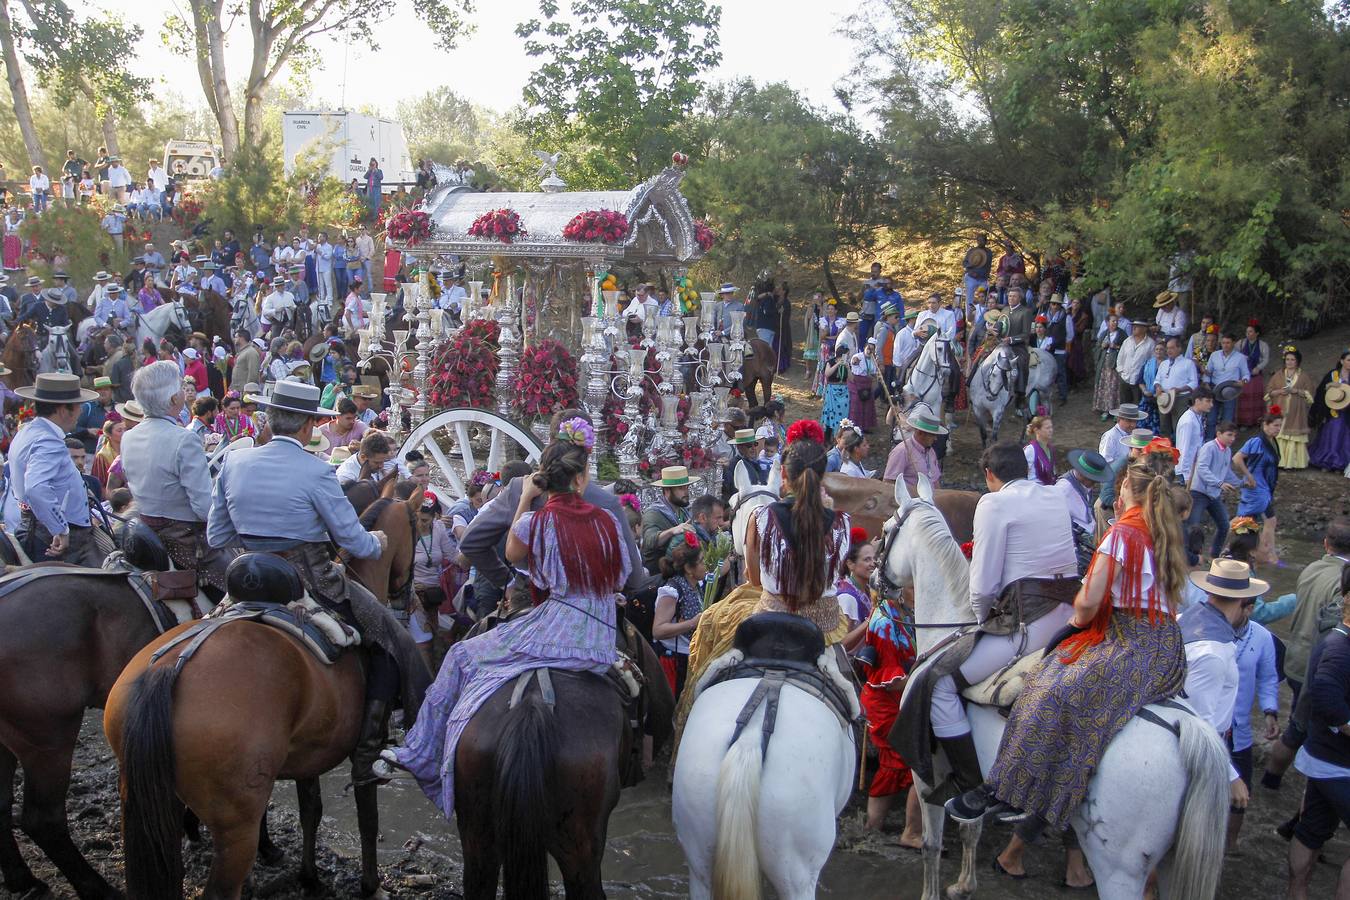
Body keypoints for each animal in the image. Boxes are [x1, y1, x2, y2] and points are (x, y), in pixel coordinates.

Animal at [103, 493, 421, 900]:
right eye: (416, 528)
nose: (409, 595)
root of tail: (170, 669)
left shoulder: (309, 752)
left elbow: (311, 811)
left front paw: (310, 877)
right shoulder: (363, 750)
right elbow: (368, 818)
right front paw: (370, 885)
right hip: (236, 827)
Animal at [880, 474, 1231, 895]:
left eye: (886, 529)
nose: (878, 582)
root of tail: (1185, 730)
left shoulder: (927, 773)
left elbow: (932, 846)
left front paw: (935, 891)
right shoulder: (966, 776)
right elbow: (971, 830)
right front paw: (965, 885)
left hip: (1118, 869)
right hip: (1173, 866)